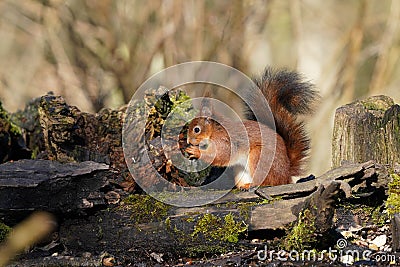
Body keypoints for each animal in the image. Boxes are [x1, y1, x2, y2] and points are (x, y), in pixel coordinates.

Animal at [184, 68, 318, 189]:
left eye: (196, 129)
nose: (188, 141)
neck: (215, 131)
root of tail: (286, 174)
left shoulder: (225, 142)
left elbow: (221, 156)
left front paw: (195, 152)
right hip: (241, 170)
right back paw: (242, 186)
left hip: (259, 157)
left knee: (270, 182)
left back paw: (253, 185)